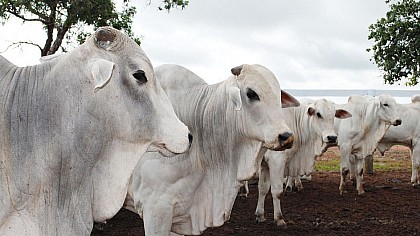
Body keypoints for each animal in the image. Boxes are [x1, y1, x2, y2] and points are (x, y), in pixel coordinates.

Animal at [253, 98, 352, 228]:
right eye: (318, 114)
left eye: (334, 114)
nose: (332, 137)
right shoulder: (276, 160)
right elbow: (277, 190)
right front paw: (279, 219)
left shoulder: (264, 164)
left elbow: (263, 188)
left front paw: (260, 215)